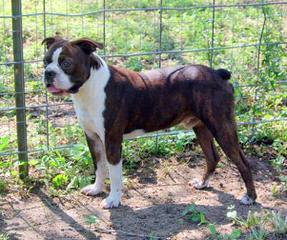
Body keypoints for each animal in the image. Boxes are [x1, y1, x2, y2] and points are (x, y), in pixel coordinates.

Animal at [41, 35, 258, 208]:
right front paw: (96, 189)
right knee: (212, 157)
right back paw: (203, 184)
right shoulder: (93, 138)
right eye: (45, 61)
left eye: (66, 63)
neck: (87, 88)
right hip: (202, 127)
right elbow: (99, 167)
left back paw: (250, 197)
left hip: (222, 127)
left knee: (243, 162)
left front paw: (113, 200)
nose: (48, 73)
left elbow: (114, 173)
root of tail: (217, 73)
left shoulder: (112, 141)